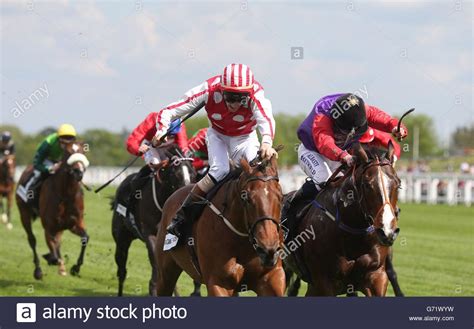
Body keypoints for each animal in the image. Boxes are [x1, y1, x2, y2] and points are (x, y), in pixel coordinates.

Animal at [16, 142, 90, 280]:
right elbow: (53, 249)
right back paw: (38, 270)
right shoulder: (49, 227)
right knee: (32, 239)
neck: (66, 195)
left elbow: (85, 238)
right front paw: (52, 259)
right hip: (24, 213)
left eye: (83, 152)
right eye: (67, 153)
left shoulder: (74, 224)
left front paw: (75, 268)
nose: (78, 172)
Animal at [155, 155, 286, 296]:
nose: (268, 250)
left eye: (281, 197)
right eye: (246, 198)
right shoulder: (218, 283)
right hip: (165, 274)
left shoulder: (272, 277)